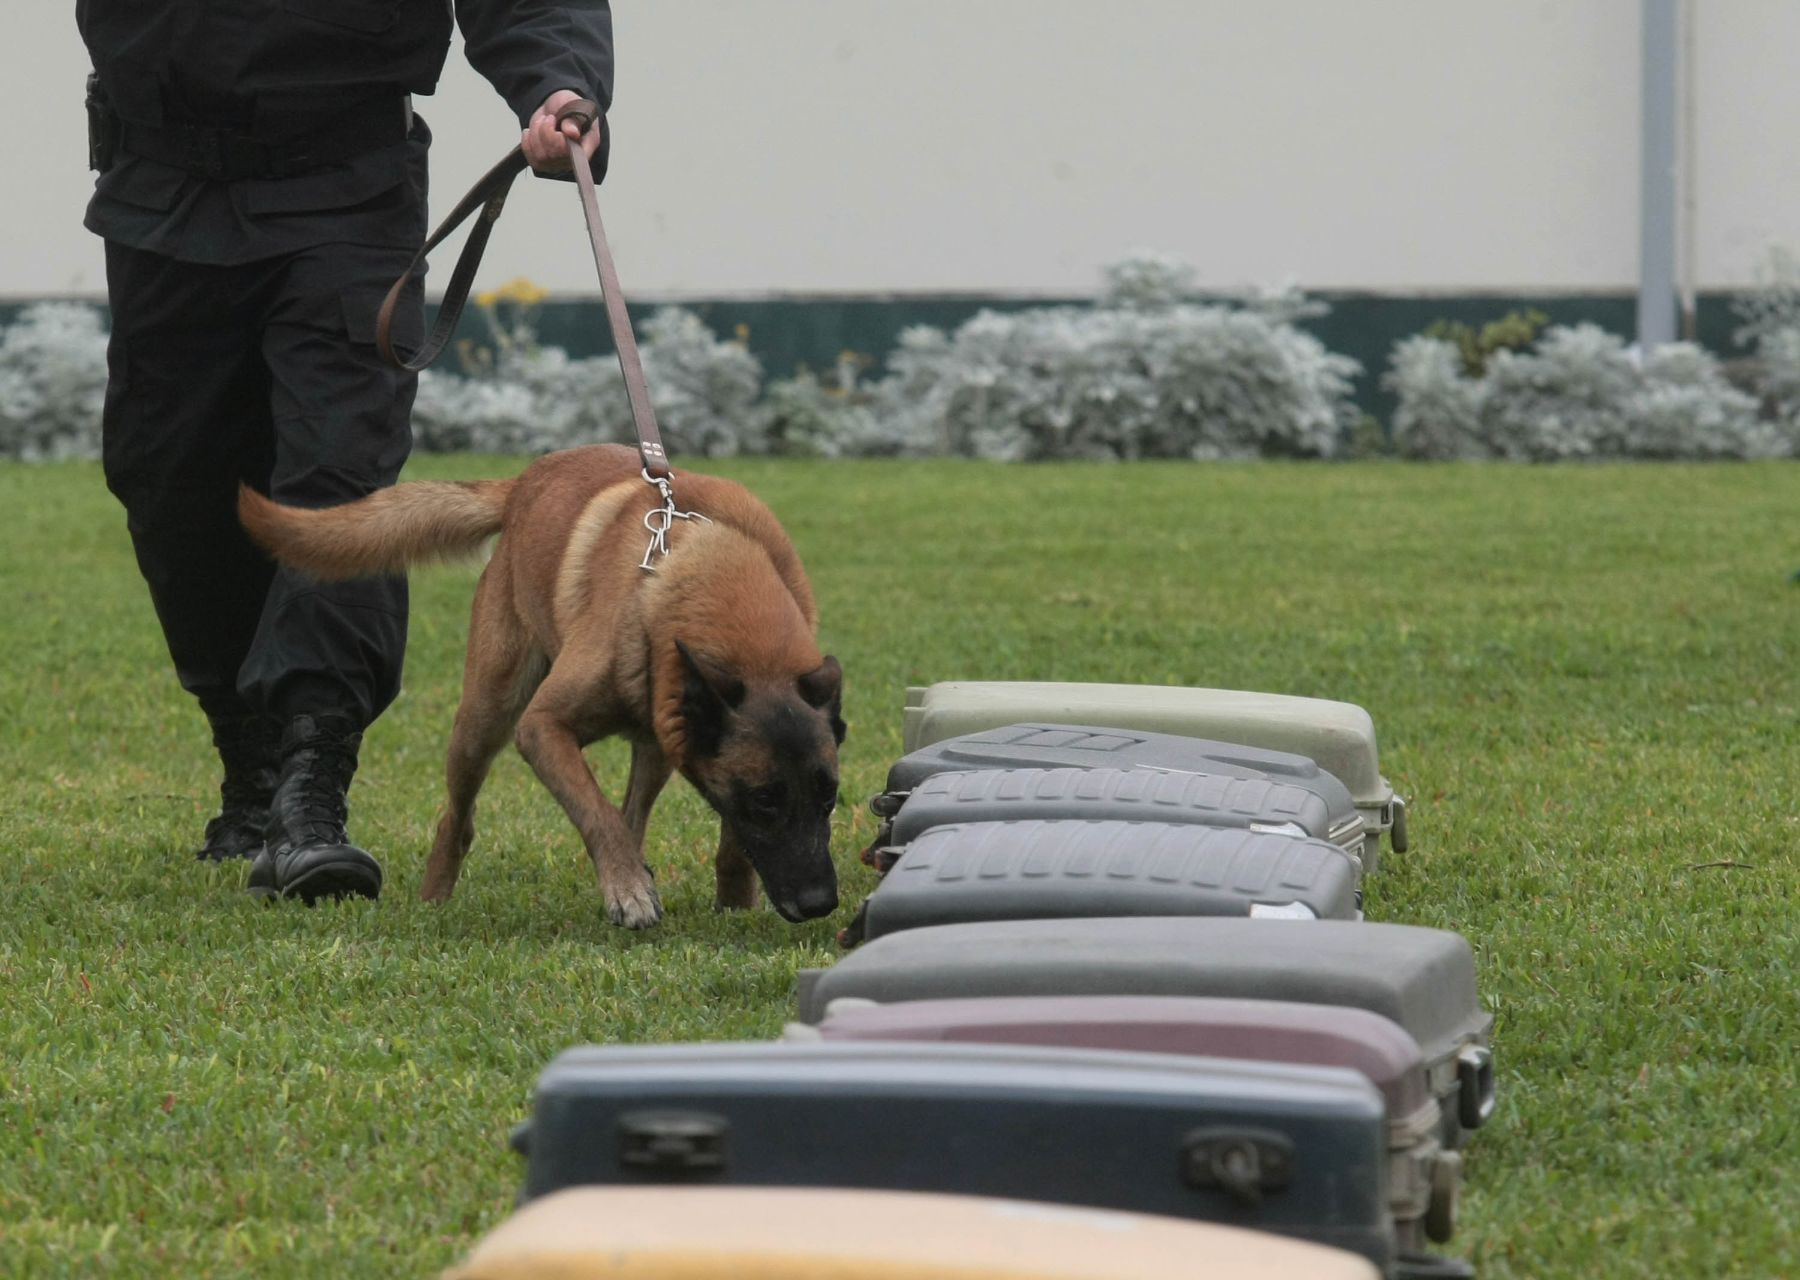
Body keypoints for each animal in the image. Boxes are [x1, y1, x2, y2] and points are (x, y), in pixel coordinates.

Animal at [237, 446, 842, 928]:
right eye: (765, 800)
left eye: (830, 795)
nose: (820, 904)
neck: (696, 568)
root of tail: (523, 481)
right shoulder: (543, 728)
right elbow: (597, 814)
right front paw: (628, 891)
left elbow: (719, 839)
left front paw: (732, 902)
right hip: (484, 720)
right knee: (458, 821)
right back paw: (436, 898)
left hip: (657, 738)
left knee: (634, 811)